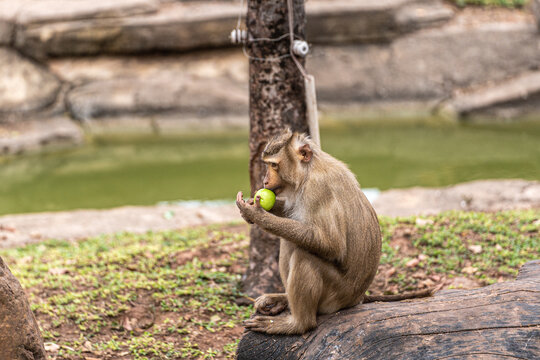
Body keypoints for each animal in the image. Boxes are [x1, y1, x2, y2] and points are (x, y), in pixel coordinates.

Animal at [236, 129, 434, 334]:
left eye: (274, 165)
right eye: (268, 165)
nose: (265, 180)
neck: (308, 172)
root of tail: (357, 298)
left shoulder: (318, 190)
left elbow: (331, 245)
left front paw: (258, 215)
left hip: (335, 297)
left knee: (303, 254)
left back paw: (298, 323)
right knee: (290, 242)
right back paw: (283, 299)